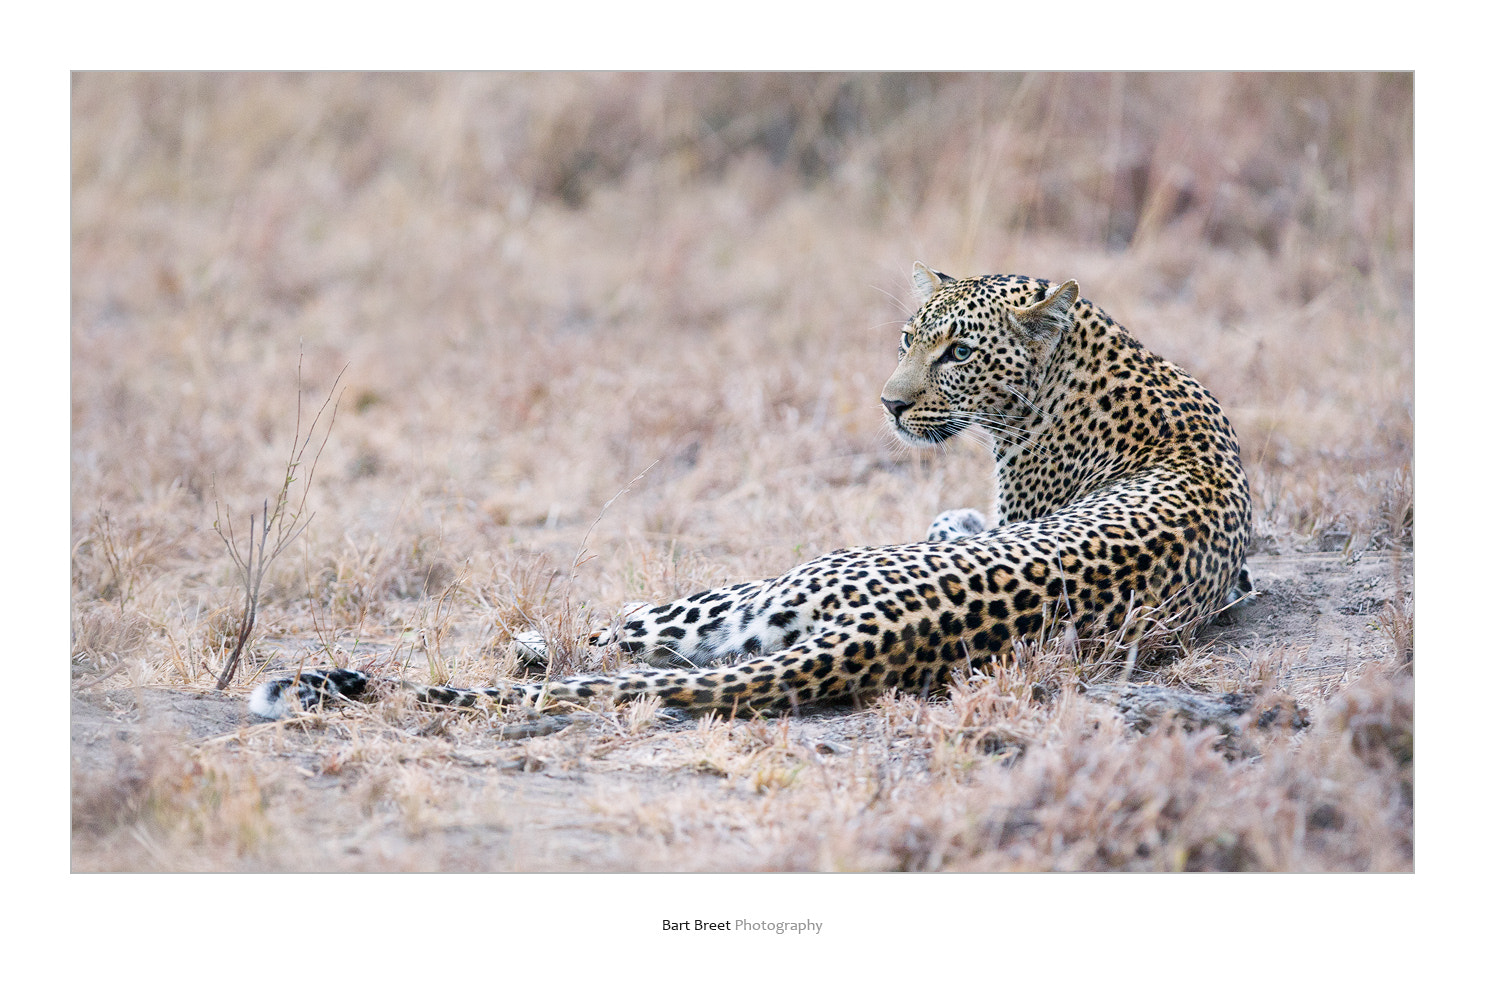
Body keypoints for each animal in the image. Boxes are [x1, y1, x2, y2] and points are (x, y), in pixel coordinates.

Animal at [252, 265, 1253, 721]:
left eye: (957, 352)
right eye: (906, 337)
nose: (889, 404)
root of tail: (886, 633)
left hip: (744, 593)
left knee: (611, 634)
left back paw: (533, 643)